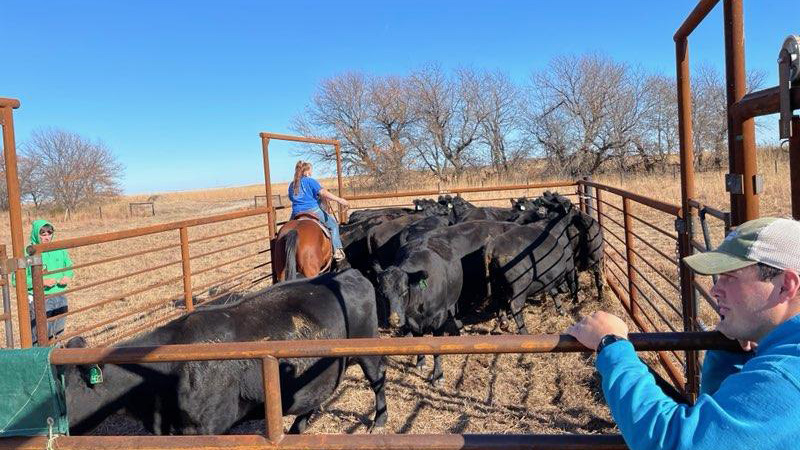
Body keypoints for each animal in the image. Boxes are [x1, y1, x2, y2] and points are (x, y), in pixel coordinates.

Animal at [62, 270, 388, 436]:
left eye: (65, 393)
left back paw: (380, 422)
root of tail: (349, 273)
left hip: (368, 350)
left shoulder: (210, 425)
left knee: (378, 378)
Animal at [376, 220, 520, 382]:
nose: (394, 320)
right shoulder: (410, 319)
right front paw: (420, 362)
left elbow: (437, 347)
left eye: (405, 291)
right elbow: (418, 340)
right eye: (382, 293)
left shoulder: (439, 317)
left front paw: (438, 375)